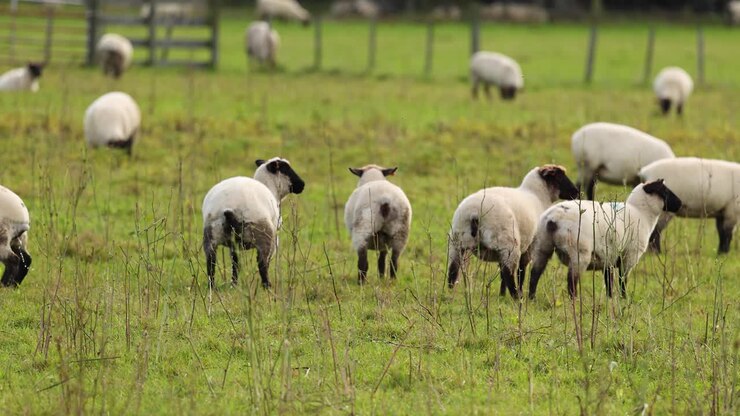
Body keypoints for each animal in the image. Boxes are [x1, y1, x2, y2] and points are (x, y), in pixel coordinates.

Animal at [202, 158, 305, 289]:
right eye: (286, 169)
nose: (302, 185)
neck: (271, 189)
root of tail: (229, 207)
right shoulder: (274, 239)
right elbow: (267, 261)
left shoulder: (233, 246)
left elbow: (235, 261)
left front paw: (234, 284)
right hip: (263, 234)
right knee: (262, 263)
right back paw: (267, 286)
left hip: (212, 235)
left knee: (212, 263)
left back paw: (216, 287)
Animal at [447, 165, 578, 298]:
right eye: (560, 177)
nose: (576, 192)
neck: (537, 196)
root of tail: (474, 213)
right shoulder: (530, 246)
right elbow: (521, 271)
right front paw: (517, 292)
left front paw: (502, 296)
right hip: (508, 243)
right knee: (508, 273)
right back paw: (517, 297)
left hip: (457, 241)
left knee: (453, 270)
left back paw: (450, 294)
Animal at [528, 180, 682, 300]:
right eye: (665, 192)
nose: (680, 204)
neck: (641, 213)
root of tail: (553, 219)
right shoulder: (629, 256)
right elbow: (622, 280)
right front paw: (624, 299)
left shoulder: (608, 258)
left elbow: (609, 281)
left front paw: (610, 299)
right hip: (579, 253)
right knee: (571, 280)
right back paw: (574, 301)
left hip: (542, 246)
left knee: (535, 273)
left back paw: (532, 298)